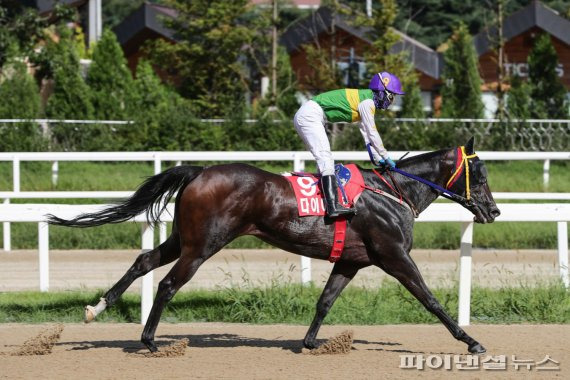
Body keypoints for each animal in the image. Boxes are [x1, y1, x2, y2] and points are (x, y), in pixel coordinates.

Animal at [48, 138, 496, 354]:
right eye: (479, 173)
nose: (493, 211)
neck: (393, 192)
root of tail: (200, 171)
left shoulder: (352, 261)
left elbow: (325, 301)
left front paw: (311, 342)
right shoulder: (394, 256)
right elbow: (431, 300)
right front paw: (471, 341)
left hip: (183, 238)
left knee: (144, 261)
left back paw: (96, 308)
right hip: (204, 245)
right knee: (169, 284)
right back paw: (149, 340)